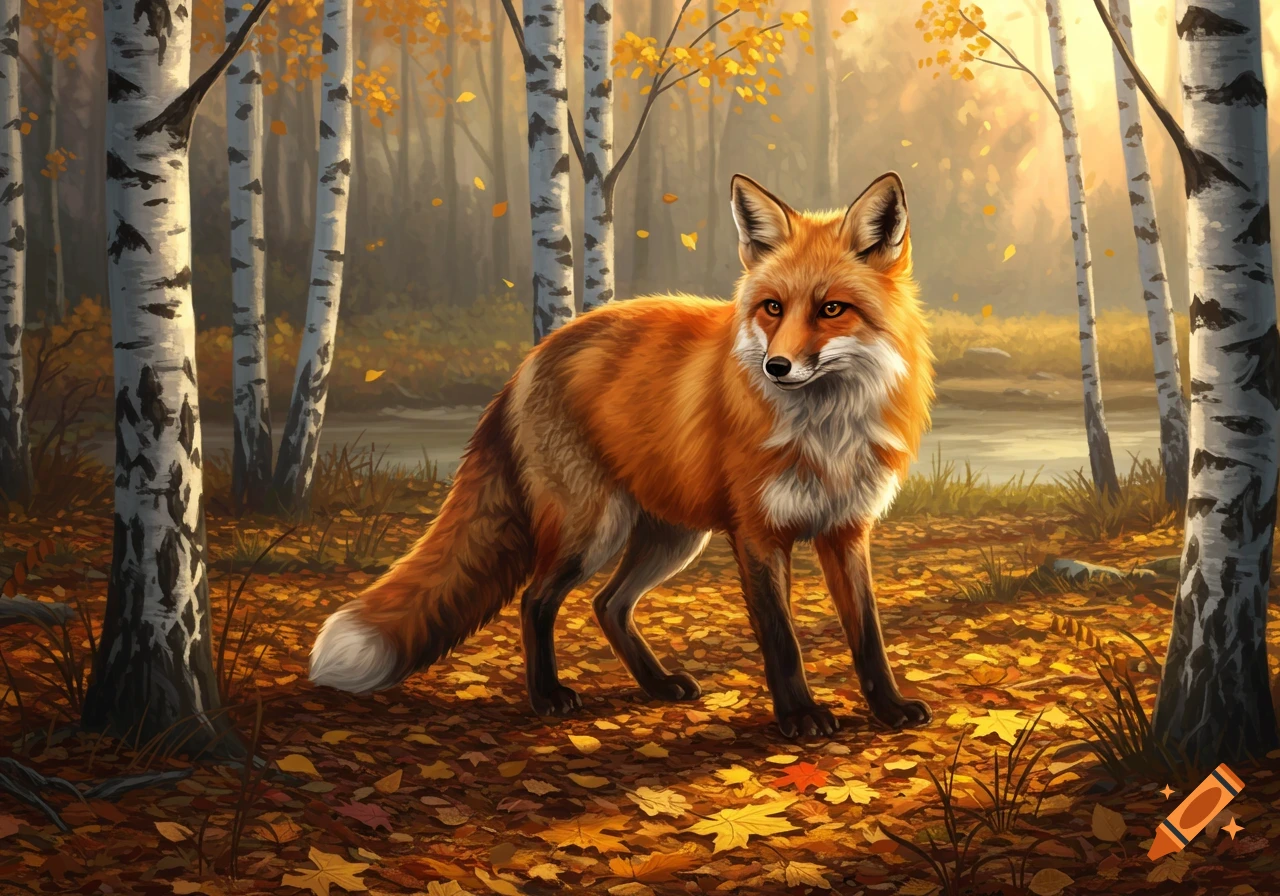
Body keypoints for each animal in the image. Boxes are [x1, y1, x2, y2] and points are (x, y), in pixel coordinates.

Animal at [309, 172, 935, 738]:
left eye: (831, 310)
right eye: (773, 308)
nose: (775, 367)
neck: (826, 433)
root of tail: (530, 359)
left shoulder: (846, 530)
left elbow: (868, 635)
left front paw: (888, 709)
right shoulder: (758, 534)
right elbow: (781, 639)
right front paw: (799, 716)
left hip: (673, 537)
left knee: (608, 604)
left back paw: (656, 684)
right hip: (594, 529)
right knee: (536, 599)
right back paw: (548, 696)